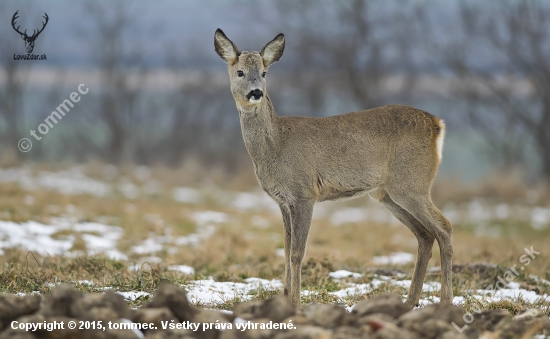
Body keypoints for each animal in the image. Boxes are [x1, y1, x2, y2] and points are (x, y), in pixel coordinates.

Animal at [213, 30, 454, 310]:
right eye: (240, 72)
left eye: (264, 72)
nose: (256, 92)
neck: (276, 145)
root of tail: (437, 124)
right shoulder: (283, 201)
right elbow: (285, 250)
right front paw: (285, 299)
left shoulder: (304, 192)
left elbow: (297, 252)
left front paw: (296, 303)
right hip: (387, 193)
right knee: (425, 235)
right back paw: (410, 302)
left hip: (412, 183)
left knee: (444, 227)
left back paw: (446, 301)